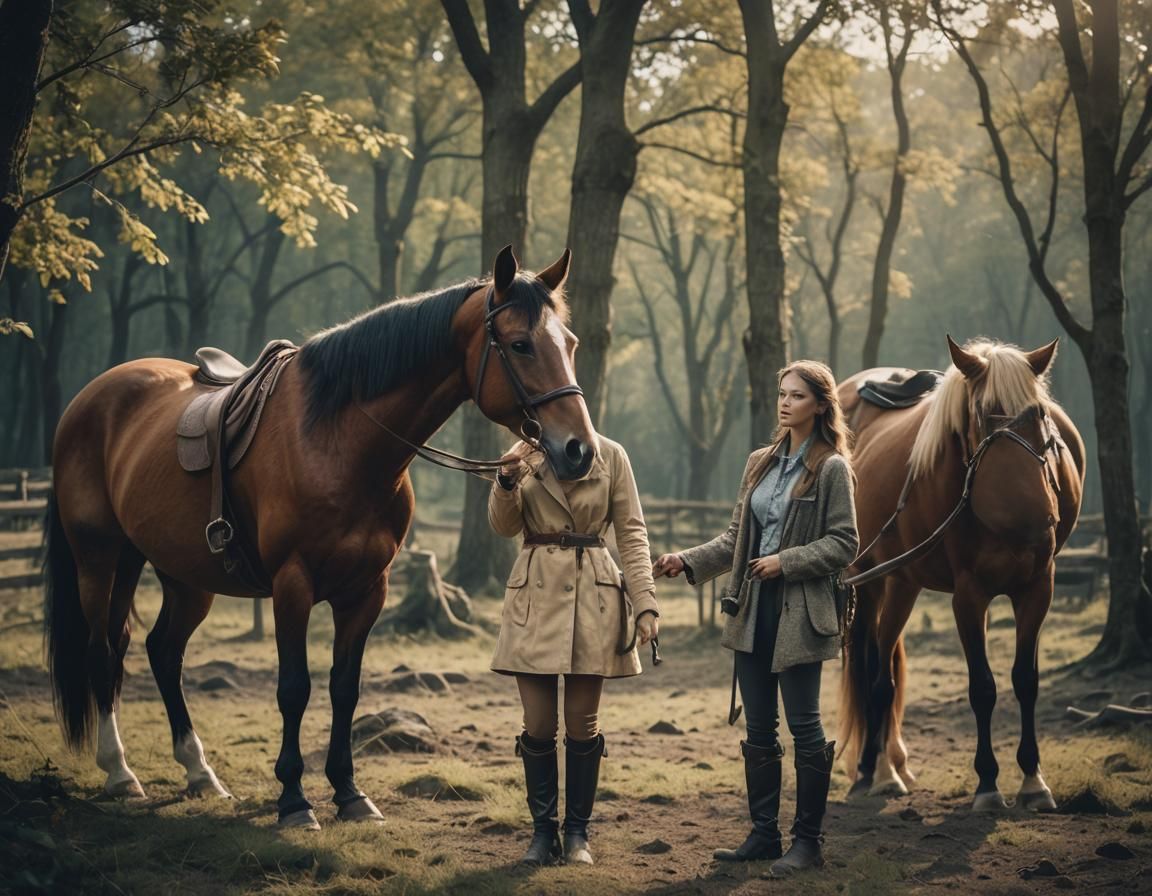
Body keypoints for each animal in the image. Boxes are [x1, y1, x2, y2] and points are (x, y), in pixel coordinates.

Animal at [44, 245, 597, 829]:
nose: (578, 449)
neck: (341, 441)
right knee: (103, 650)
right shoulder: (293, 585)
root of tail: (90, 399)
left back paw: (199, 773)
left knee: (161, 651)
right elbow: (295, 689)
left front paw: (349, 792)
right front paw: (293, 798)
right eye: (519, 344)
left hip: (178, 572)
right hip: (100, 560)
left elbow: (344, 689)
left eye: (570, 344)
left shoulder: (367, 590)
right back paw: (120, 772)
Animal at [837, 336, 1085, 812]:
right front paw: (987, 783)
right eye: (984, 415)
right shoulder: (968, 596)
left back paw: (890, 767)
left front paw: (1033, 780)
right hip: (870, 579)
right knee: (873, 672)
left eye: (1039, 414)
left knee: (884, 670)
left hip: (903, 583)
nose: (1035, 518)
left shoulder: (1037, 589)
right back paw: (874, 772)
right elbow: (982, 688)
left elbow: (1026, 681)